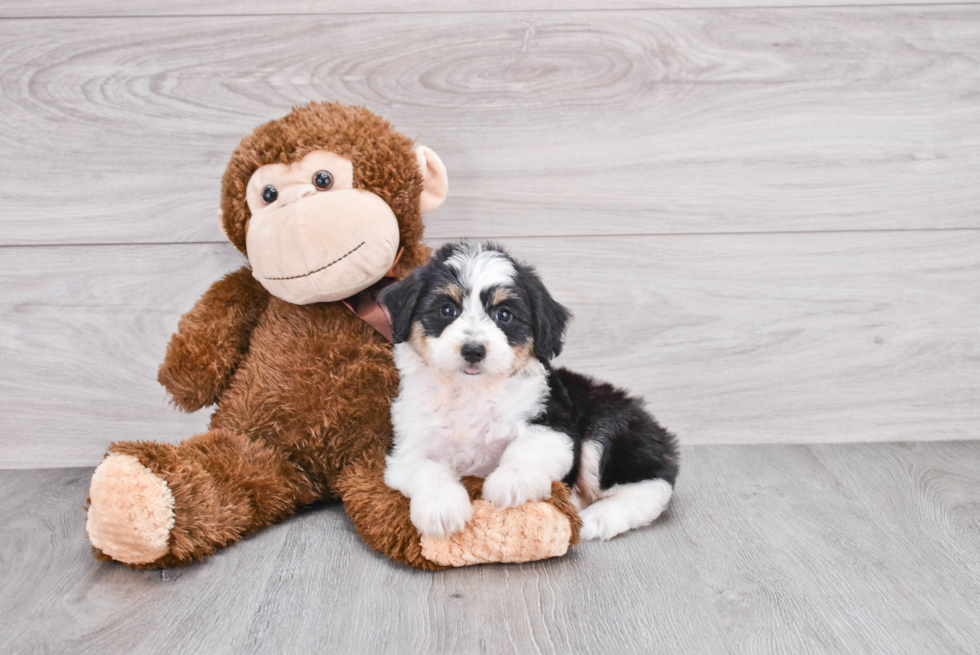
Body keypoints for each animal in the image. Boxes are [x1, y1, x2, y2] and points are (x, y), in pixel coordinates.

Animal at [382, 243, 680, 540]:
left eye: (504, 315)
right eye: (447, 310)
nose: (473, 350)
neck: (472, 391)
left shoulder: (552, 420)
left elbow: (528, 448)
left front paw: (511, 482)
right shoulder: (408, 447)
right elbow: (426, 468)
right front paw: (441, 509)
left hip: (606, 427)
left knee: (650, 485)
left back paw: (597, 518)